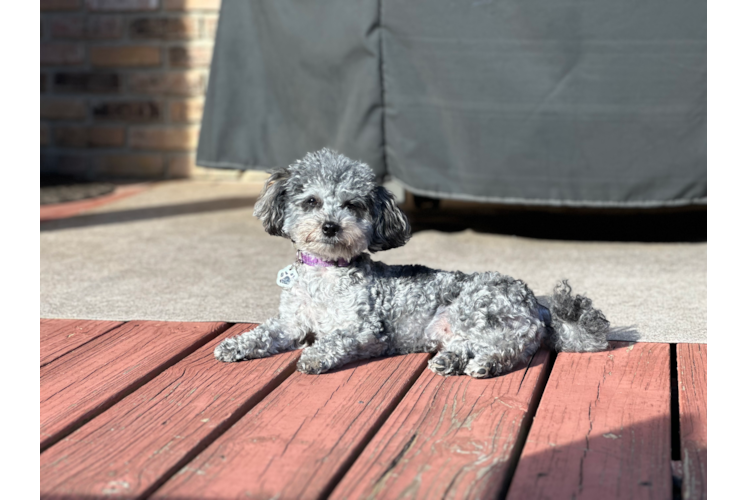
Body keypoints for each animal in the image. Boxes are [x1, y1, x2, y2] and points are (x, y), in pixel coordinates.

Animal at [213, 150, 612, 376]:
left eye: (352, 205)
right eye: (311, 201)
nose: (330, 226)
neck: (325, 275)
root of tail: (537, 304)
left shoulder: (366, 329)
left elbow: (335, 339)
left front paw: (315, 357)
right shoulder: (291, 323)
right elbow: (265, 332)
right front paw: (236, 345)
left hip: (476, 308)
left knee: (505, 349)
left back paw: (484, 365)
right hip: (454, 328)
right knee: (472, 345)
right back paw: (451, 362)